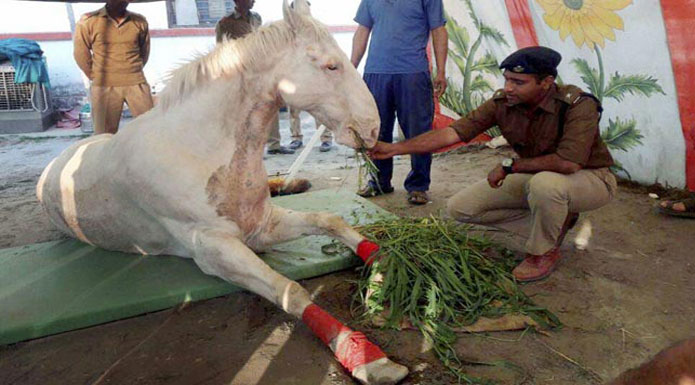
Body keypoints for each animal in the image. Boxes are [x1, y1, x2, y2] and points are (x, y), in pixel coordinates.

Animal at [35, 1, 408, 382]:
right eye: (331, 65)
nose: (373, 129)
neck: (198, 149)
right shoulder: (214, 248)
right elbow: (289, 289)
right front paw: (365, 356)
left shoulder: (261, 225)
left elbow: (330, 220)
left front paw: (387, 273)